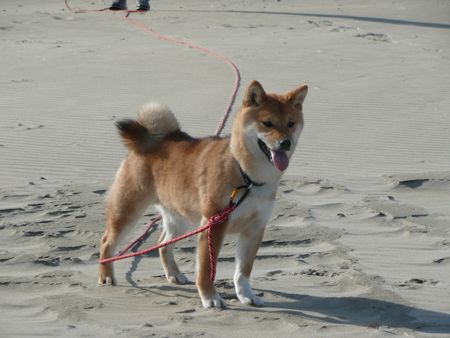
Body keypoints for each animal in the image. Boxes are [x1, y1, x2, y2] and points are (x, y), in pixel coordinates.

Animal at [98, 80, 308, 308]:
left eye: (290, 124)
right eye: (267, 123)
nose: (285, 143)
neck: (248, 177)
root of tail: (151, 139)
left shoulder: (254, 229)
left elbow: (243, 272)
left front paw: (247, 295)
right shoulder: (214, 225)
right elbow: (207, 269)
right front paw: (210, 297)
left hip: (178, 217)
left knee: (163, 243)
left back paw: (174, 274)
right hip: (128, 211)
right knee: (107, 241)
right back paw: (106, 275)